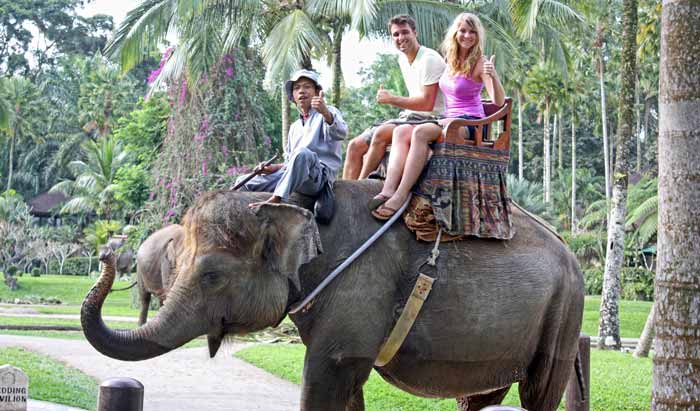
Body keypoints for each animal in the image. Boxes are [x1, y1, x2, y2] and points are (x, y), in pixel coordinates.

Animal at [80, 181, 584, 411]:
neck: (297, 206)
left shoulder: (359, 292)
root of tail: (572, 253)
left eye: (212, 276)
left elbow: (324, 379)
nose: (106, 255)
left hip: (564, 313)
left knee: (540, 390)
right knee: (480, 397)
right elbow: (347, 390)